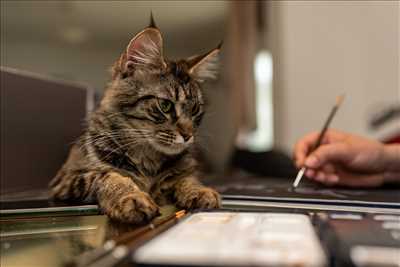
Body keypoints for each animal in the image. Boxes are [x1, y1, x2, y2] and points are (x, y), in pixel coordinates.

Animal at [50, 17, 222, 224]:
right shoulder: (65, 180)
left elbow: (186, 179)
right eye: (165, 105)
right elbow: (107, 175)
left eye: (195, 110)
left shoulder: (183, 173)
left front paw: (200, 191)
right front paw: (131, 197)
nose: (188, 136)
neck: (148, 160)